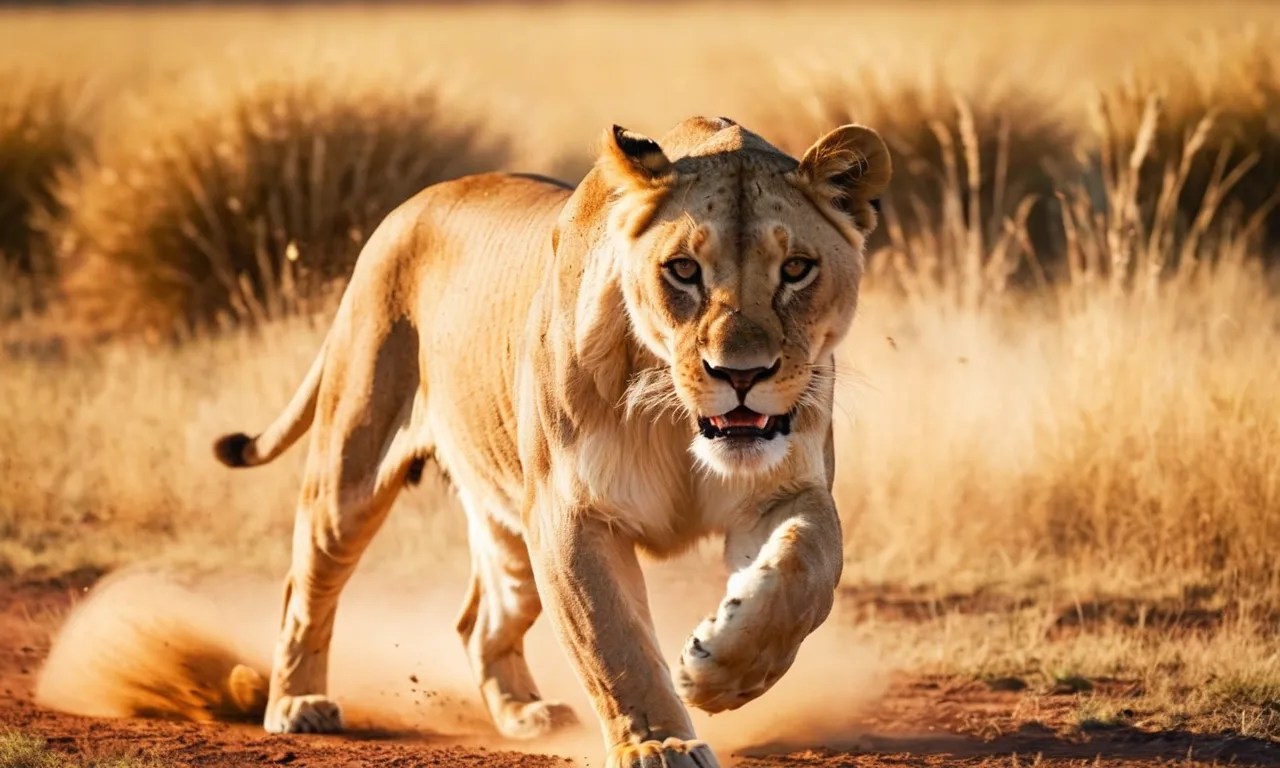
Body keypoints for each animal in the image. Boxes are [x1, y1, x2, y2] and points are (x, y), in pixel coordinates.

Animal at [212, 116, 890, 768]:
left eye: (796, 269)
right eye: (683, 270)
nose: (741, 375)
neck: (673, 417)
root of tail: (406, 208)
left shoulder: (784, 489)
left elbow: (806, 573)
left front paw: (721, 669)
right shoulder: (571, 512)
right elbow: (613, 641)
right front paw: (657, 745)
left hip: (510, 530)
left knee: (478, 621)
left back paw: (525, 714)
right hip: (351, 470)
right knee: (304, 587)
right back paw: (297, 703)